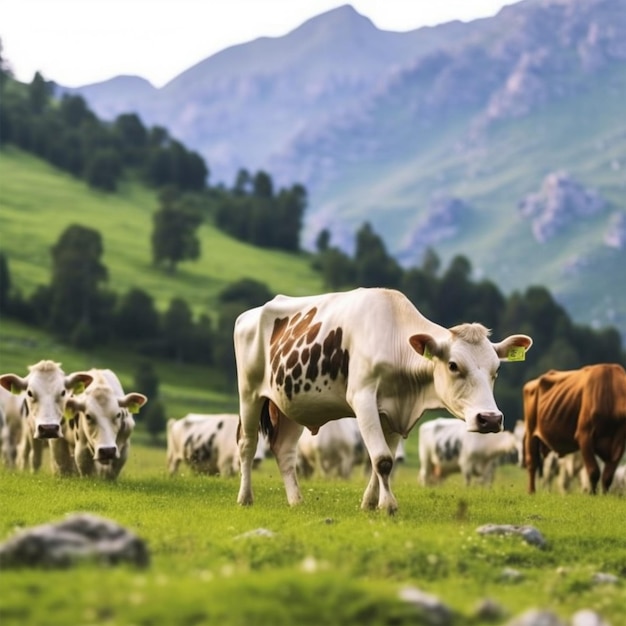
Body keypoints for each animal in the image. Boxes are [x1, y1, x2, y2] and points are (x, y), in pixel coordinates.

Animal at [232, 286, 528, 510]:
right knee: (247, 444)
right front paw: (388, 505)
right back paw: (245, 497)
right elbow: (382, 460)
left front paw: (370, 503)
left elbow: (382, 460)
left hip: (292, 403)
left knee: (285, 451)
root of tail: (251, 313)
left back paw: (296, 501)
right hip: (249, 393)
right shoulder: (363, 398)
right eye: (454, 365)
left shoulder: (394, 412)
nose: (490, 419)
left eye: (497, 369)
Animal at [520, 360, 624, 492]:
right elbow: (593, 472)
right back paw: (531, 491)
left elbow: (607, 477)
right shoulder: (584, 435)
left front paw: (604, 495)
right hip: (531, 432)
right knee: (532, 463)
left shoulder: (619, 443)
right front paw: (593, 494)